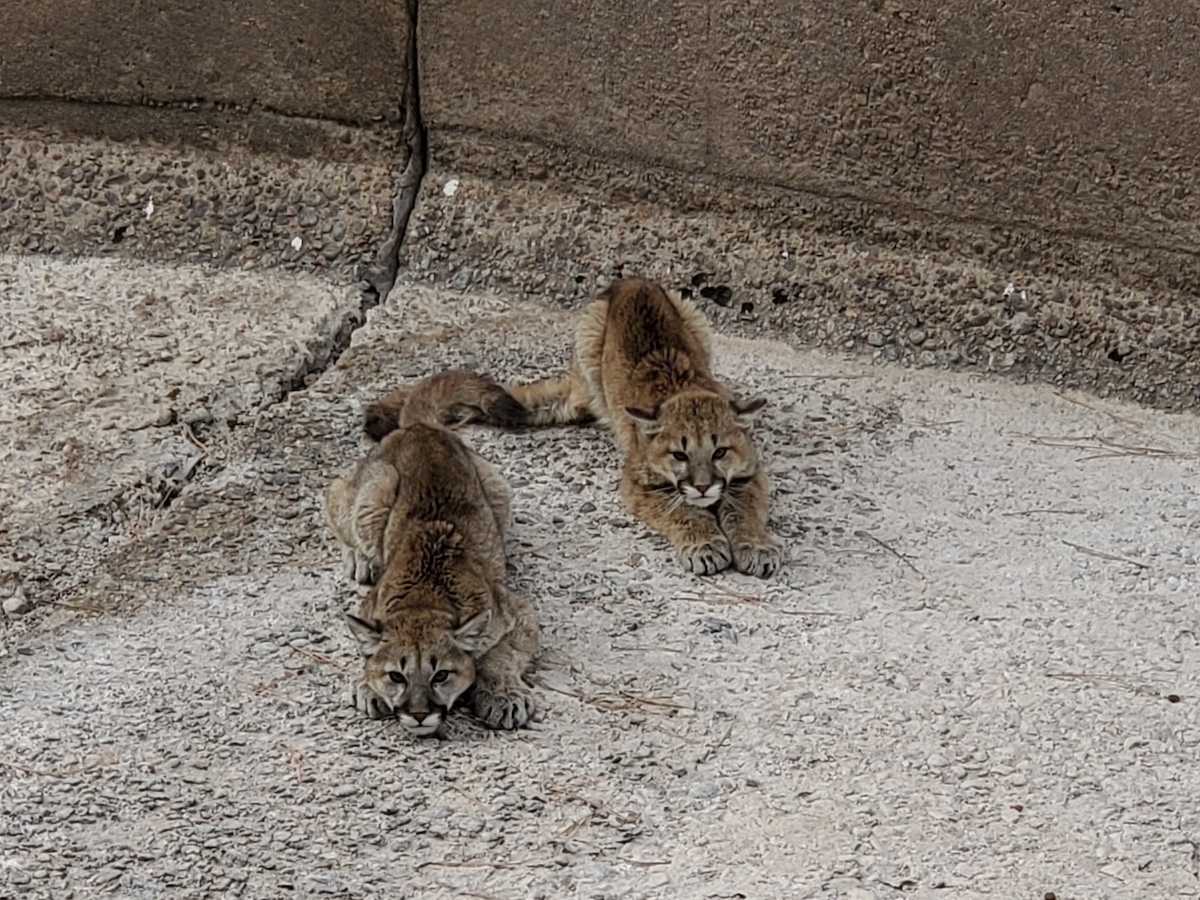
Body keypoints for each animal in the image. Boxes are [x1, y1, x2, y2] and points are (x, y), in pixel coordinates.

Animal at [325, 371, 538, 736]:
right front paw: (369, 685)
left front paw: (502, 695)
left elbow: (500, 656)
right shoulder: (370, 606)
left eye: (440, 676)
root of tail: (421, 427)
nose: (419, 713)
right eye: (398, 677)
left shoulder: (519, 613)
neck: (427, 594)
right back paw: (360, 558)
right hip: (376, 489)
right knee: (334, 493)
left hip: (499, 491)